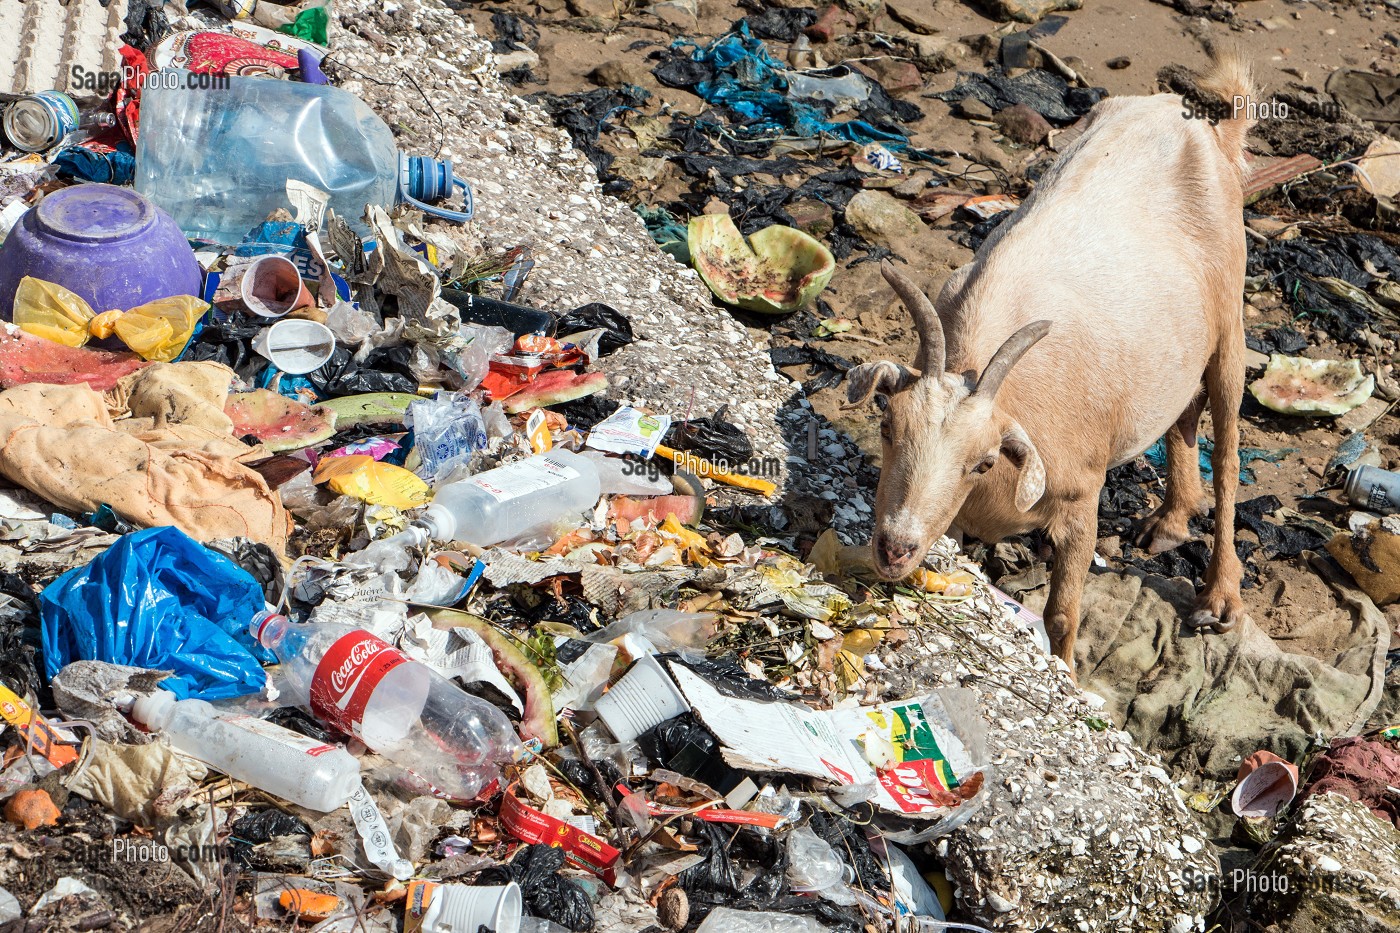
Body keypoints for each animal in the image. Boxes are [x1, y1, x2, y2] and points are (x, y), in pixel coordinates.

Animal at [845, 50, 1254, 672]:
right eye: (887, 426)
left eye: (983, 462)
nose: (895, 548)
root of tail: (1187, 115)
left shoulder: (1081, 501)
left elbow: (1063, 615)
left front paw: (1067, 673)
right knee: (1182, 411)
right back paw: (1169, 523)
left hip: (1230, 322)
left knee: (1228, 451)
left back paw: (1220, 597)